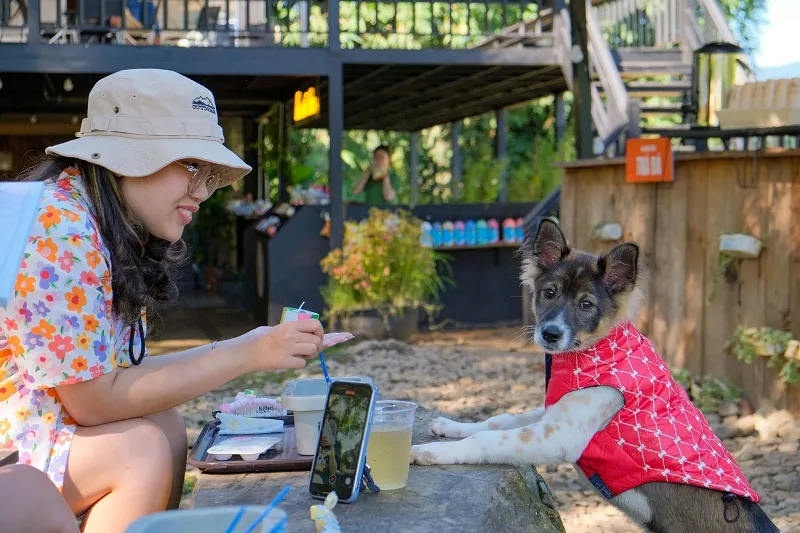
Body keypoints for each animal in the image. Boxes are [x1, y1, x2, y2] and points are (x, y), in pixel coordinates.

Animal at [412, 218, 780, 528]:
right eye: (549, 293)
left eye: (586, 304)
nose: (550, 334)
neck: (593, 351)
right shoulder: (555, 412)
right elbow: (497, 420)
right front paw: (450, 427)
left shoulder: (558, 435)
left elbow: (489, 439)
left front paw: (433, 453)